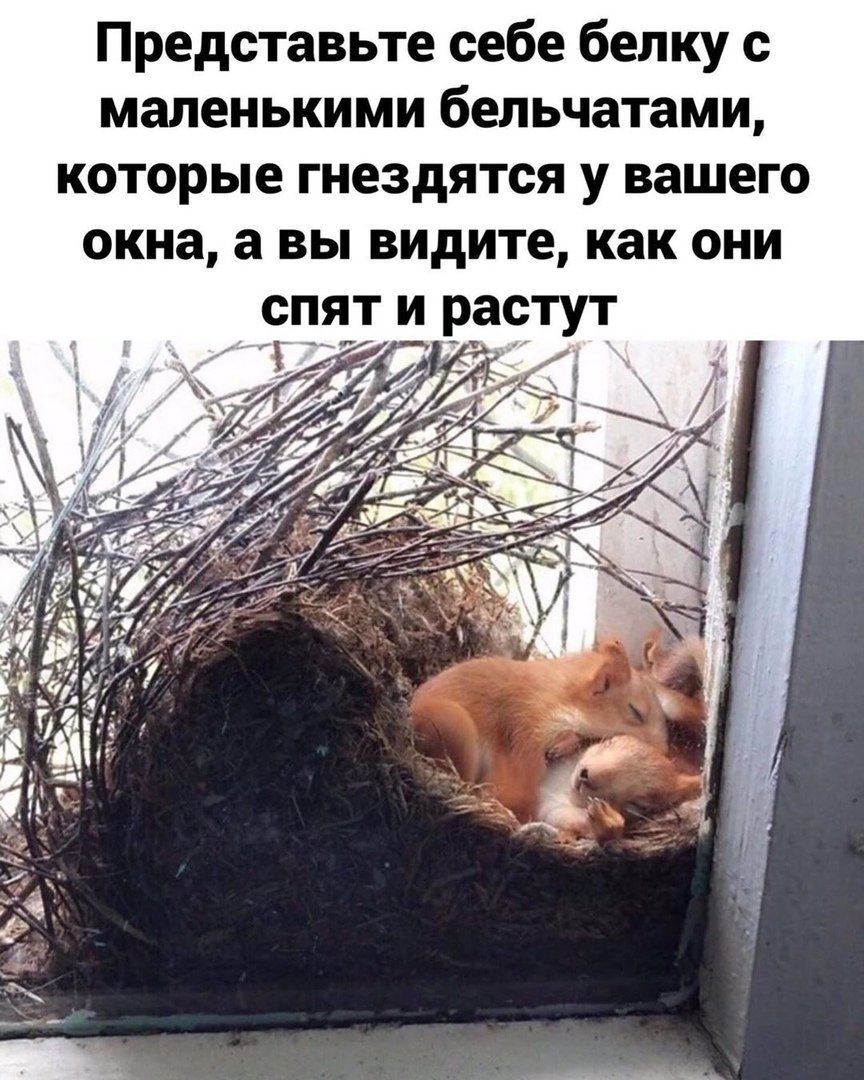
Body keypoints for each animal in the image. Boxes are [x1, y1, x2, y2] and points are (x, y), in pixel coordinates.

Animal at [410, 638, 669, 823]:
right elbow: (521, 782)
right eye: (636, 711)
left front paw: (564, 745)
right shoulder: (528, 728)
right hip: (453, 726)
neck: (559, 695)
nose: (666, 752)